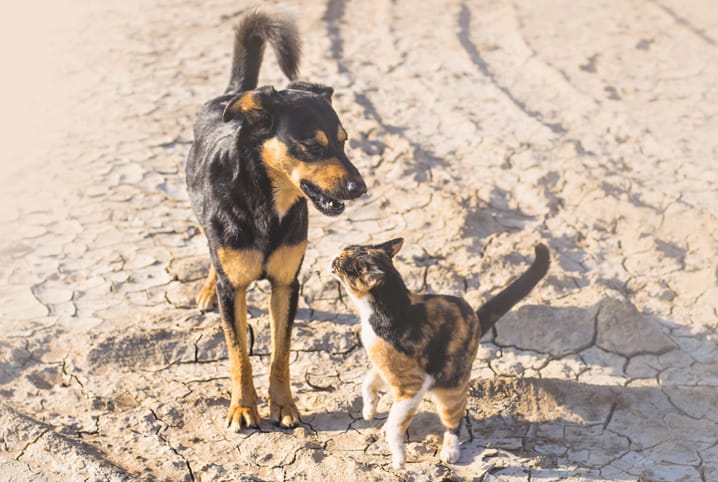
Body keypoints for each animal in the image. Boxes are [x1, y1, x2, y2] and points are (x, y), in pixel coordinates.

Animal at [187, 9, 366, 430]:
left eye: (344, 142)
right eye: (313, 146)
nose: (360, 187)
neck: (267, 203)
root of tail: (231, 95)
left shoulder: (287, 285)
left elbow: (281, 352)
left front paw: (283, 405)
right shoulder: (233, 291)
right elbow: (239, 354)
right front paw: (243, 407)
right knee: (212, 252)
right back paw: (207, 287)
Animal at [332, 239, 552, 468]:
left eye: (345, 265)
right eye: (346, 250)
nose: (334, 258)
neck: (393, 308)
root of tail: (476, 320)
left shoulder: (411, 385)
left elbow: (395, 424)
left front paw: (399, 459)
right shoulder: (385, 367)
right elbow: (367, 382)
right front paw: (368, 409)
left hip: (450, 391)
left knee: (454, 422)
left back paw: (450, 451)